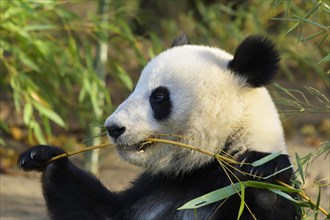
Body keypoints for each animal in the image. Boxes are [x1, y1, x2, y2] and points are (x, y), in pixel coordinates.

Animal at [19, 33, 300, 219]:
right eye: (134, 88)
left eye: (159, 97)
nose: (113, 128)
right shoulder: (158, 187)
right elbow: (102, 211)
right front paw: (44, 157)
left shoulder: (227, 187)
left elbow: (268, 196)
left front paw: (265, 174)